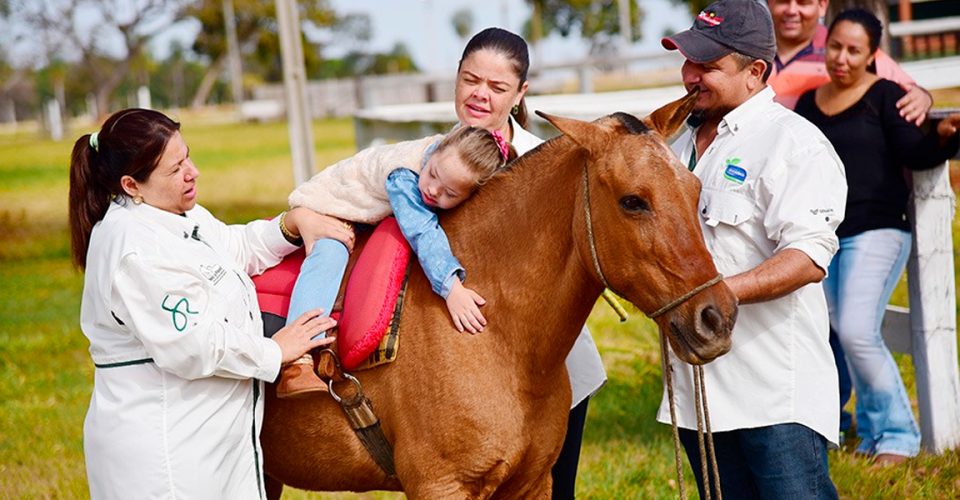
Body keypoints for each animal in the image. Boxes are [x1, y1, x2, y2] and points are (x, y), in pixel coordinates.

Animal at [258, 92, 740, 498]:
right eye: (633, 201)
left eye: (695, 190)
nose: (716, 317)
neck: (500, 339)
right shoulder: (440, 486)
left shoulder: (531, 483)